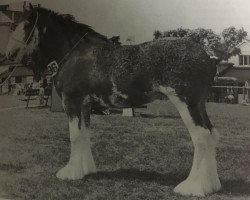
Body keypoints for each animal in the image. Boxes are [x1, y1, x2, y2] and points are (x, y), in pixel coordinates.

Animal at [5, 4, 221, 197]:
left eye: (26, 24)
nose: (8, 54)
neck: (75, 54)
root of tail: (208, 57)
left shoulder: (72, 101)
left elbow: (74, 136)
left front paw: (70, 173)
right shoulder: (85, 106)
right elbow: (84, 134)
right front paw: (86, 170)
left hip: (187, 103)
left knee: (201, 137)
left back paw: (192, 187)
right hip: (199, 105)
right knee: (211, 134)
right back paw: (212, 185)